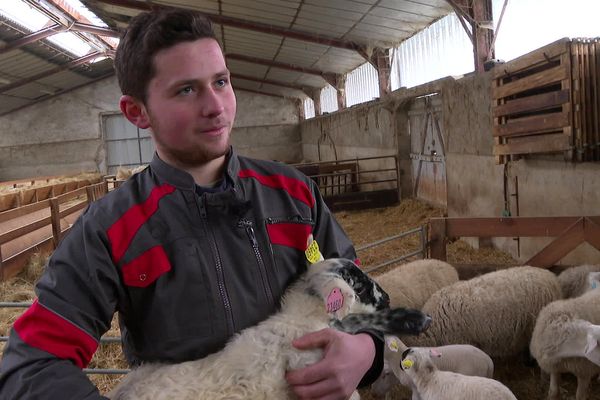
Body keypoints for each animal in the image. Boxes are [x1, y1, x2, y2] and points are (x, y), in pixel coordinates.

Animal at [110, 260, 434, 400]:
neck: (299, 320)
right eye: (360, 285)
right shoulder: (307, 360)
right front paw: (413, 318)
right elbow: (354, 322)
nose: (387, 297)